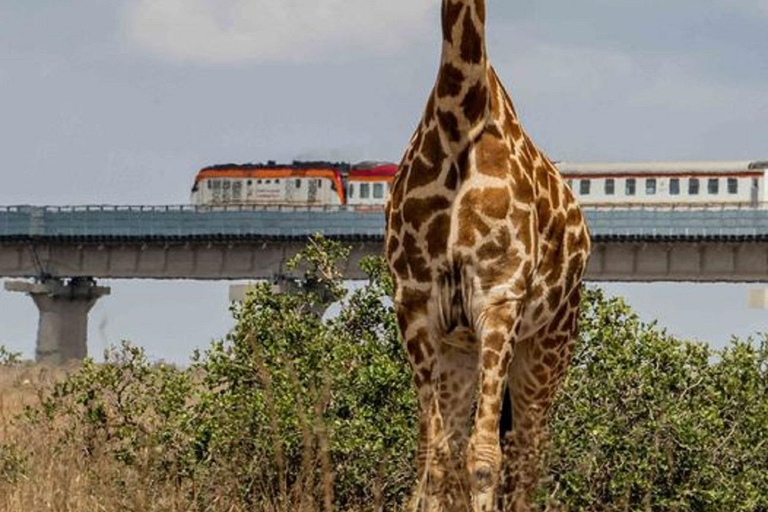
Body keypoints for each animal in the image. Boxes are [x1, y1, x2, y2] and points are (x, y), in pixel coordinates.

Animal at [388, 1, 592, 508]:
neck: (459, 120)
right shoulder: (414, 302)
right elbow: (437, 458)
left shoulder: (500, 297)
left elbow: (484, 458)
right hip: (459, 353)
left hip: (548, 347)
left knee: (526, 453)